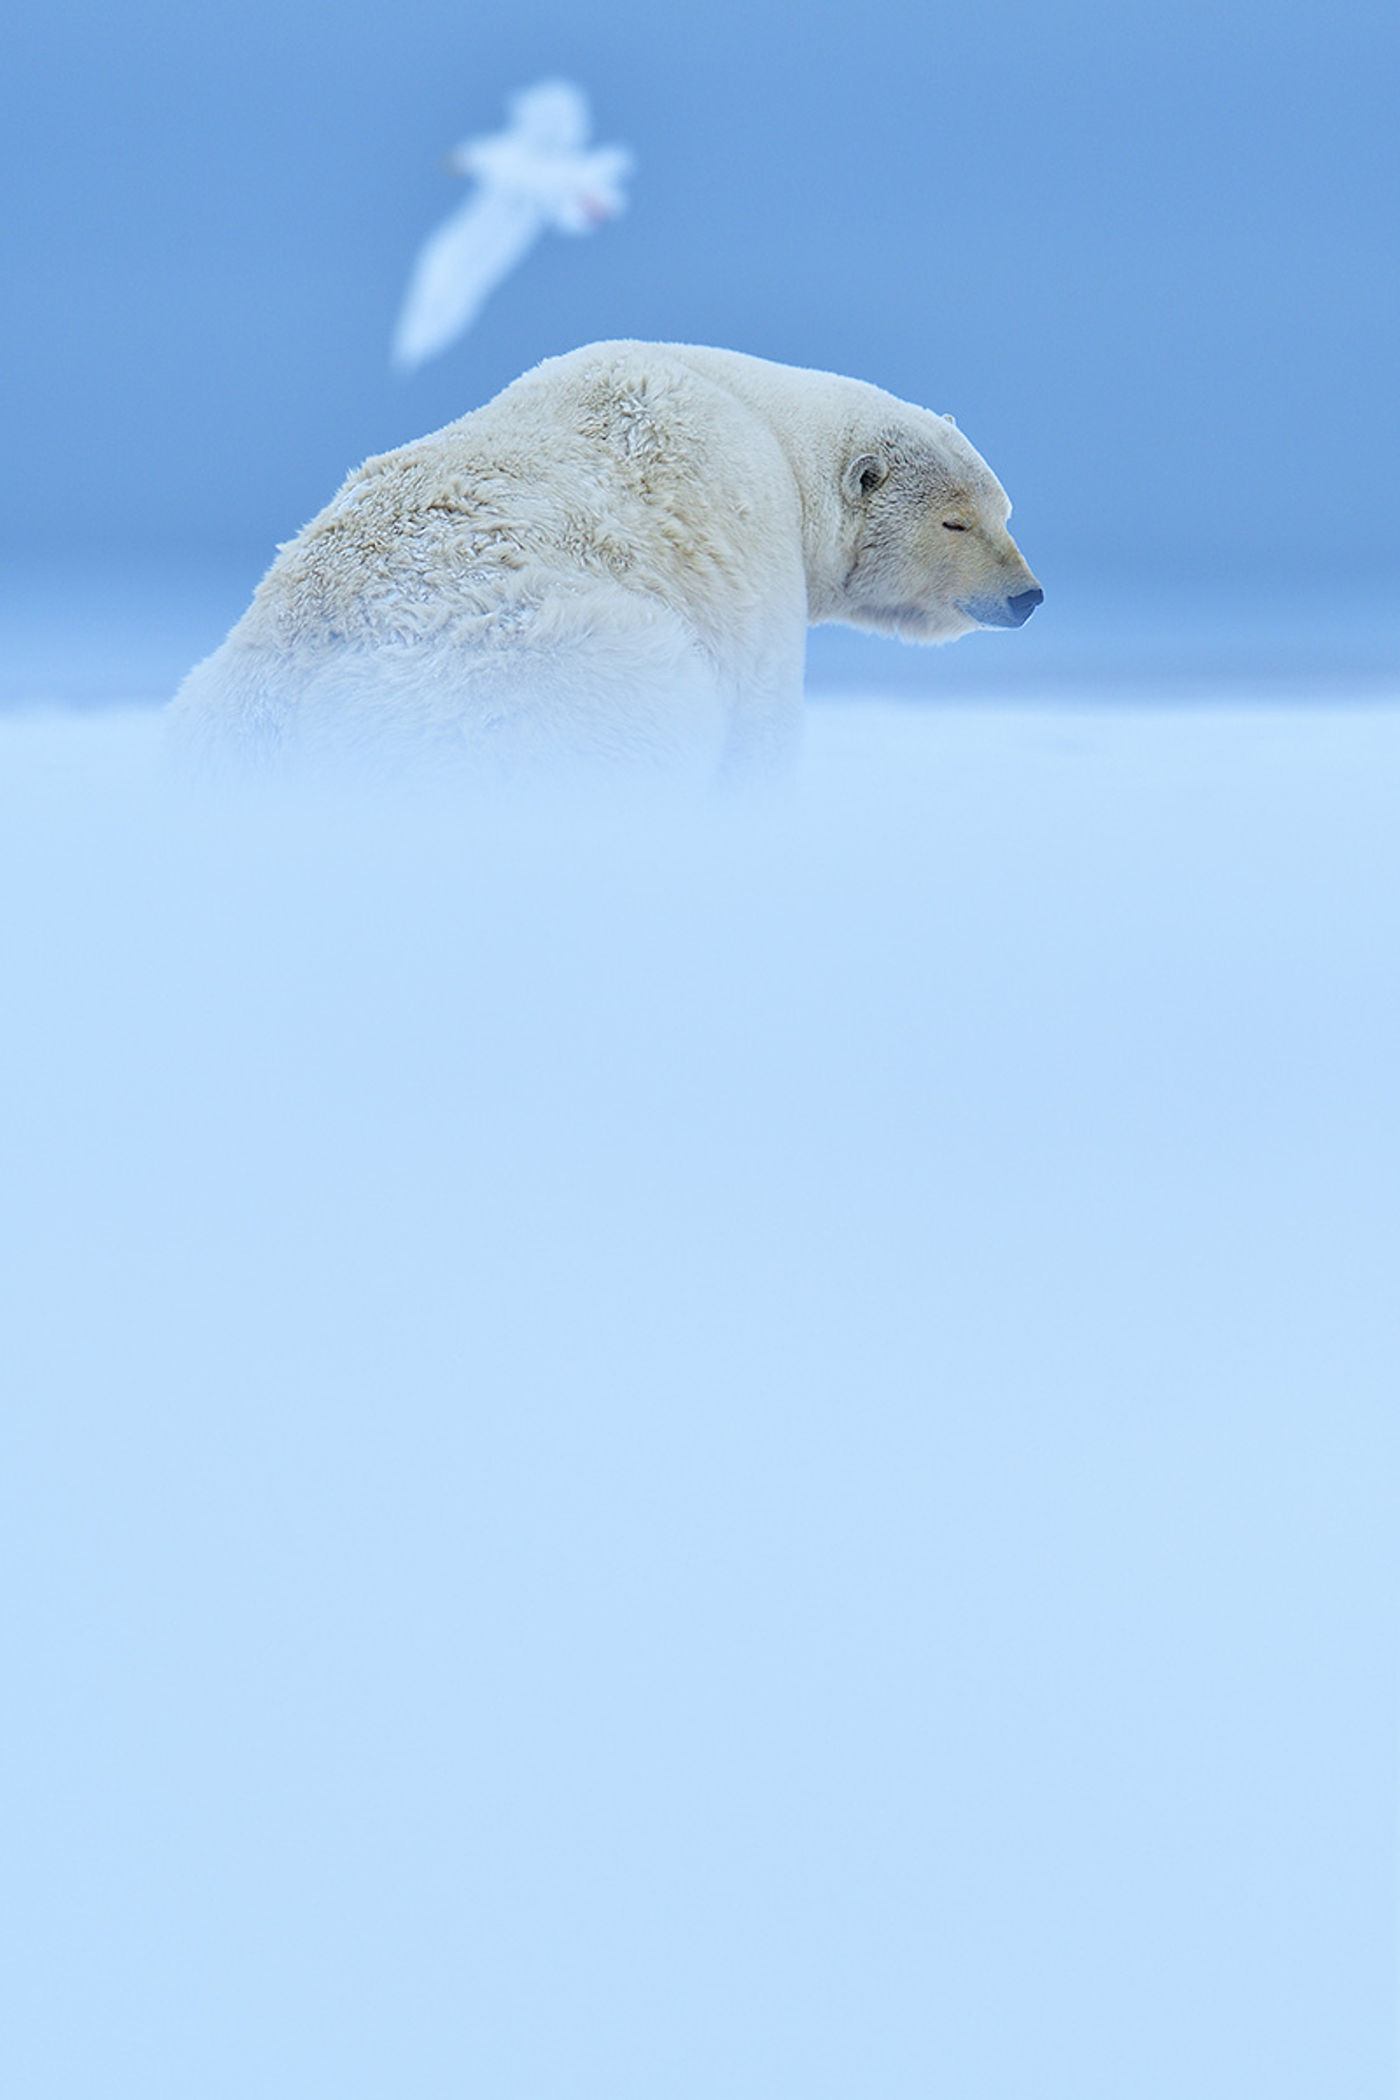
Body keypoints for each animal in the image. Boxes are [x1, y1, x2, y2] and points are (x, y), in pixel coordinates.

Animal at [166, 344, 1041, 789]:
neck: (762, 420)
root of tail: (281, 703)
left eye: (1004, 510)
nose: (1027, 595)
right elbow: (759, 720)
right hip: (534, 678)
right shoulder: (752, 552)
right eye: (956, 520)